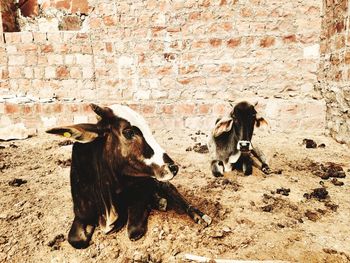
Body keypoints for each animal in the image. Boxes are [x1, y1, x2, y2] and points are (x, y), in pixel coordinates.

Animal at [45, 103, 211, 250]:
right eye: (128, 132)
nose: (173, 167)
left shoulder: (139, 193)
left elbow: (133, 231)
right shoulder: (81, 214)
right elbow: (75, 239)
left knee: (171, 190)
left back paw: (198, 215)